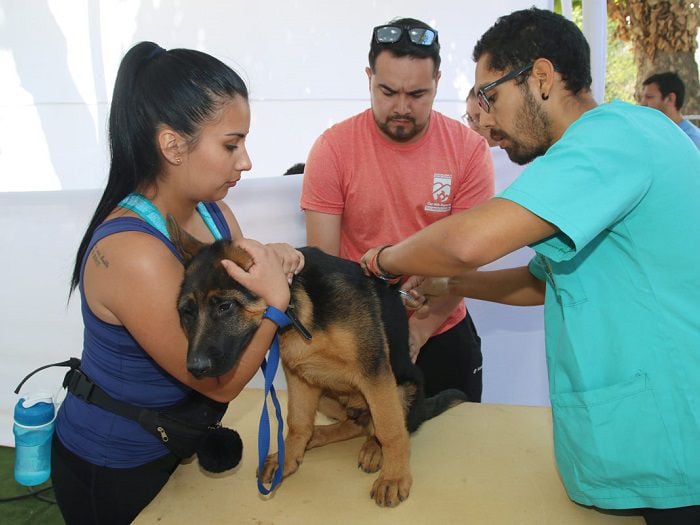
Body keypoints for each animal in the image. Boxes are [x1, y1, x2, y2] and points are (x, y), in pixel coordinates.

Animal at [167, 219, 468, 506]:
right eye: (187, 313)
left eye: (224, 306)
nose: (194, 369)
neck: (296, 308)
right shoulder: (299, 375)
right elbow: (298, 422)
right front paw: (288, 457)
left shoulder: (375, 372)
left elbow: (390, 429)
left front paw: (394, 477)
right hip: (327, 396)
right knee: (353, 424)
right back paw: (319, 436)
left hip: (404, 386)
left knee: (387, 425)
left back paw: (374, 448)